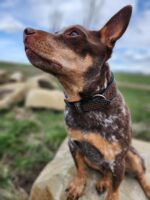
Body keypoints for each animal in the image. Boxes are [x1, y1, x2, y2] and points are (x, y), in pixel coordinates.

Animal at [23, 4, 150, 200]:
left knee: (140, 174)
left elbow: (115, 189)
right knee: (104, 171)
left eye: (74, 33)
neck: (87, 104)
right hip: (94, 160)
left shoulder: (117, 161)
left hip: (133, 157)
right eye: (56, 31)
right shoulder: (74, 145)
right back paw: (103, 181)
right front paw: (78, 185)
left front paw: (110, 193)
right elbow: (80, 168)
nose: (26, 30)